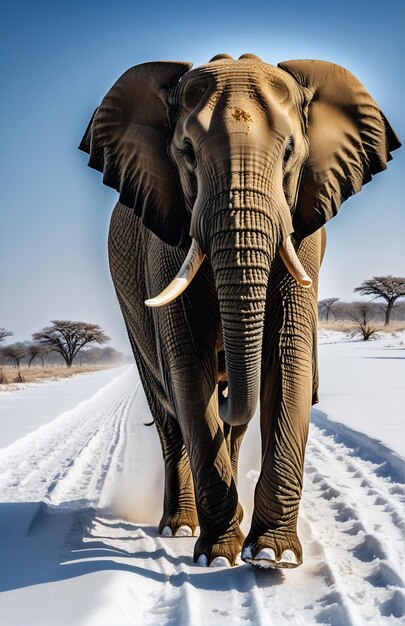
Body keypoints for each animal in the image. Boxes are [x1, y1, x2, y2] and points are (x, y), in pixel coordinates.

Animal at [79, 53, 398, 568]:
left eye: (289, 153)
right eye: (187, 153)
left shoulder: (303, 232)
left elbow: (286, 357)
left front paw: (271, 556)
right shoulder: (165, 237)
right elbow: (188, 366)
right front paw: (217, 558)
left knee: (233, 422)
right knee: (168, 410)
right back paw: (179, 526)